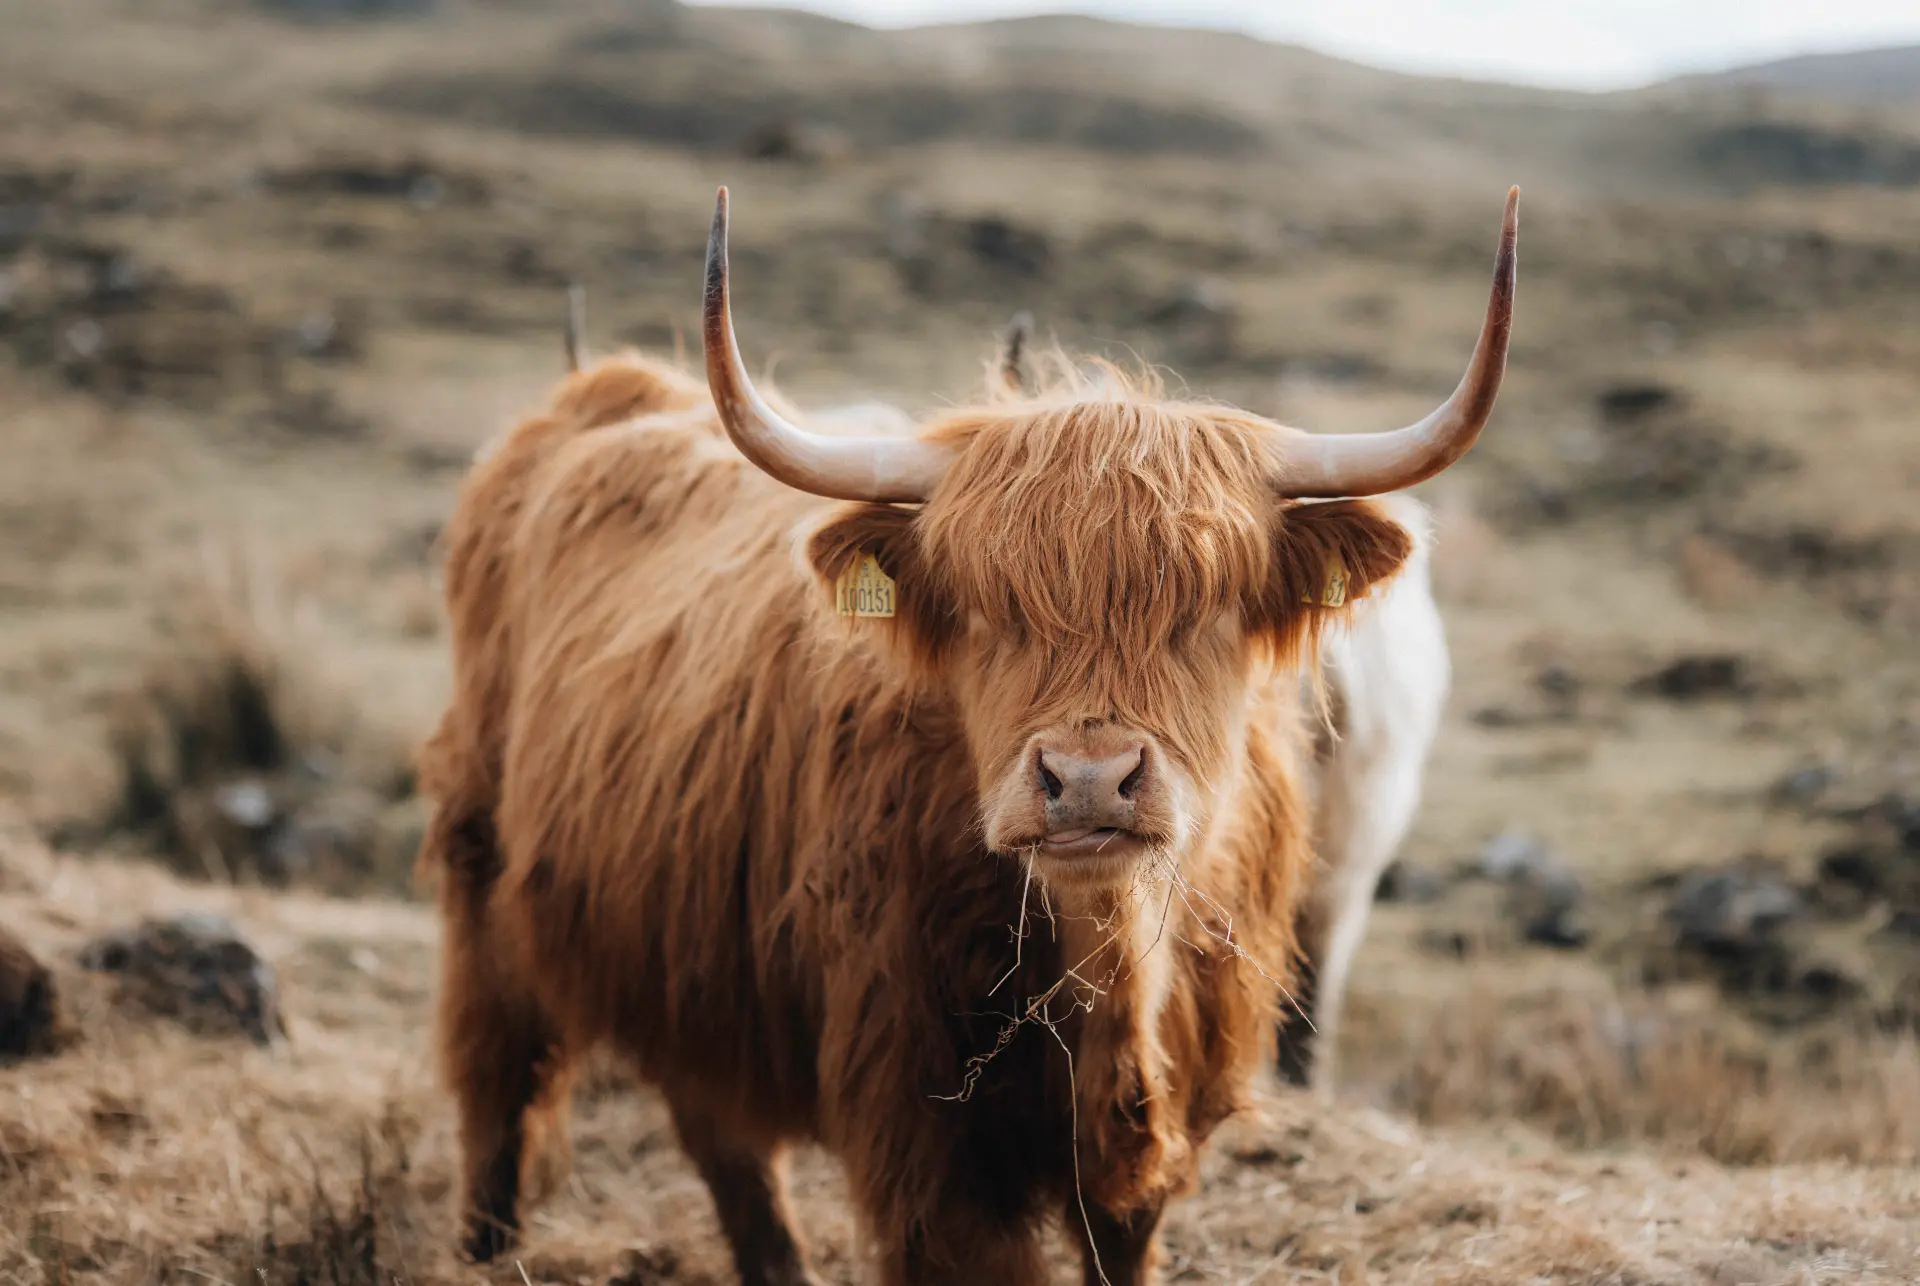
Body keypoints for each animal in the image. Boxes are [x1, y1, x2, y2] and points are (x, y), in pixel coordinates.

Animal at [417, 184, 1517, 1285]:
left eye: (1206, 608)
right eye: (988, 611)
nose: (1088, 779)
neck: (1109, 961)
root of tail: (608, 388)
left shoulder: (1158, 1142)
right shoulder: (926, 1144)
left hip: (688, 949)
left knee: (719, 1132)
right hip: (484, 873)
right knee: (497, 1080)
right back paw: (482, 1246)